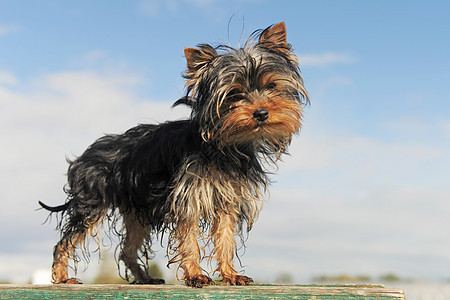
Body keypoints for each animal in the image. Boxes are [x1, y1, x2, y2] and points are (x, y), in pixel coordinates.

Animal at [40, 22, 310, 288]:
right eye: (234, 94)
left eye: (271, 87)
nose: (261, 113)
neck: (224, 146)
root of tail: (83, 157)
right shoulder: (186, 199)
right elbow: (189, 239)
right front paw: (196, 275)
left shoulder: (226, 201)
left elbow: (225, 239)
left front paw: (230, 274)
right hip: (91, 205)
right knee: (64, 242)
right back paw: (62, 277)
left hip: (136, 211)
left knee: (127, 249)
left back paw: (144, 278)